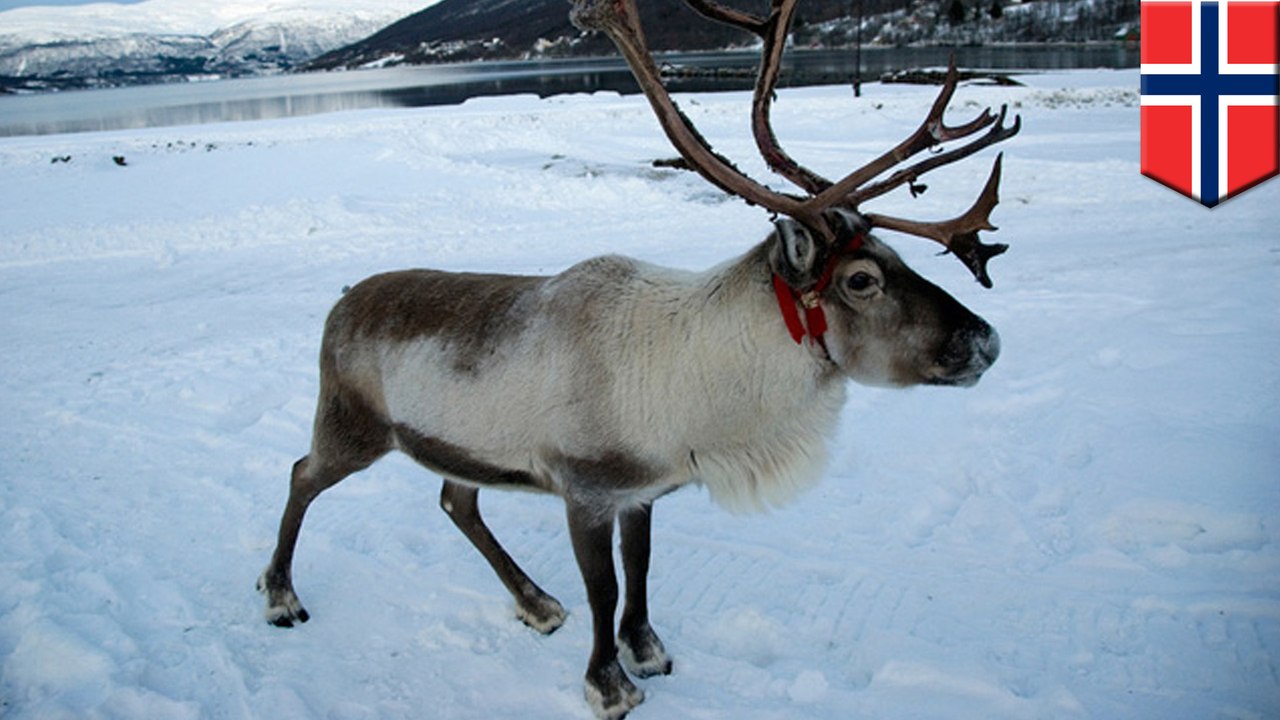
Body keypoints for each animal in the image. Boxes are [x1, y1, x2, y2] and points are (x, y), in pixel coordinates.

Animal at [257, 1, 1020, 717]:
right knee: (301, 474)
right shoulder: (585, 488)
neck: (701, 383)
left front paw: (648, 651)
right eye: (861, 279)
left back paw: (536, 604)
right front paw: (609, 684)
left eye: (895, 256)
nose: (986, 339)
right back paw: (280, 595)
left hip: (458, 444)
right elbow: (605, 588)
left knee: (455, 499)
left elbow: (642, 570)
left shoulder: (646, 489)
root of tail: (342, 302)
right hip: (352, 423)